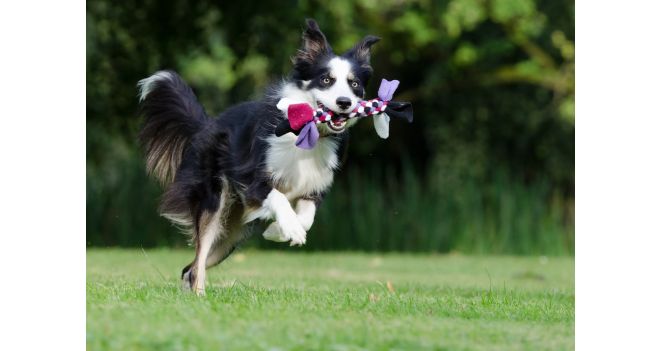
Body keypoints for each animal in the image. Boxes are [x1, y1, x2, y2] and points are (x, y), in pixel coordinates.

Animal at [137, 18, 378, 294]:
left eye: (354, 84)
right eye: (326, 79)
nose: (344, 102)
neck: (308, 132)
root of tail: (206, 125)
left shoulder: (315, 186)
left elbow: (307, 217)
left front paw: (277, 231)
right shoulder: (251, 177)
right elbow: (279, 198)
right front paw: (290, 228)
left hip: (231, 234)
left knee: (190, 267)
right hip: (215, 201)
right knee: (197, 261)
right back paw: (200, 295)